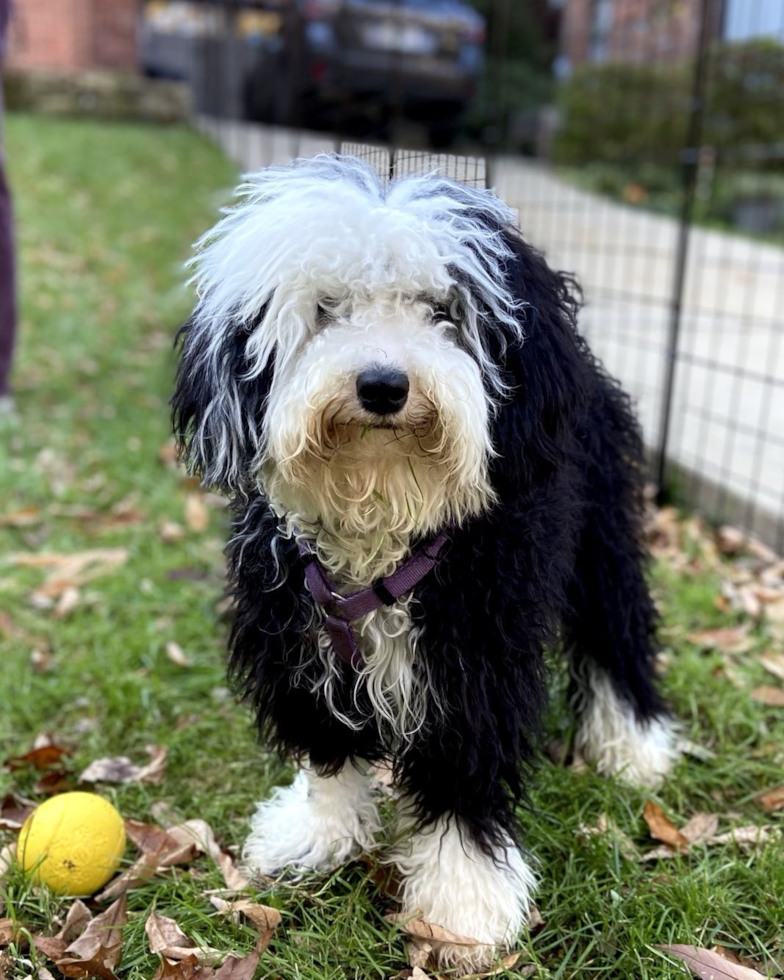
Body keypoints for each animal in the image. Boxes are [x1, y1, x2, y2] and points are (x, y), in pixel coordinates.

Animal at [175, 155, 676, 972]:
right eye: (327, 309)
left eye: (442, 310)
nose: (383, 385)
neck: (383, 520)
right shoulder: (301, 639)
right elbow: (331, 749)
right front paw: (318, 833)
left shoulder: (474, 657)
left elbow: (464, 777)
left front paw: (461, 911)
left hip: (600, 540)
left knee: (617, 630)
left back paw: (634, 746)